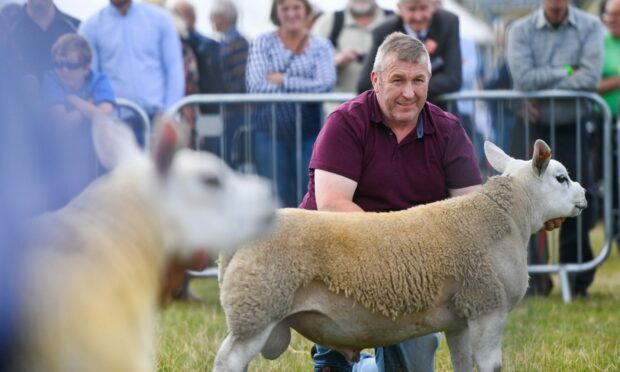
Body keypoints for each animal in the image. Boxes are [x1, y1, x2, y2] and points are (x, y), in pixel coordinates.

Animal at [213, 139, 588, 372]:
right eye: (561, 178)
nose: (585, 195)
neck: (504, 217)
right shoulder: (487, 307)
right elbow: (490, 365)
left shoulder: (461, 318)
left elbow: (463, 364)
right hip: (257, 308)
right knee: (227, 361)